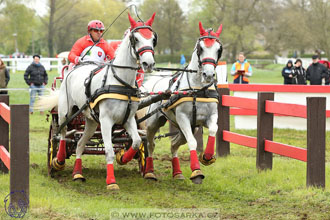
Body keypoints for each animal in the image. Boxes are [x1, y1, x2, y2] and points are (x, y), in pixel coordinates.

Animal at [38, 12, 157, 190]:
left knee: (80, 143)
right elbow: (108, 150)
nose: (148, 63)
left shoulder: (128, 119)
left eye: (153, 38)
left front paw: (124, 156)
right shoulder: (106, 120)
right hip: (65, 113)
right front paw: (111, 182)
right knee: (62, 135)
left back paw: (77, 174)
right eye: (135, 38)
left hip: (91, 121)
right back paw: (58, 160)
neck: (120, 82)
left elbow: (136, 142)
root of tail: (74, 70)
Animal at [144, 21, 222, 184]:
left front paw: (207, 157)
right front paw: (196, 171)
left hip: (187, 128)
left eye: (219, 49)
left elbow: (213, 129)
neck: (198, 90)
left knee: (174, 145)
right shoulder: (183, 118)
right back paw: (149, 172)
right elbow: (193, 142)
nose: (209, 74)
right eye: (200, 48)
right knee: (150, 144)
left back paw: (177, 172)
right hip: (153, 123)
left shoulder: (209, 117)